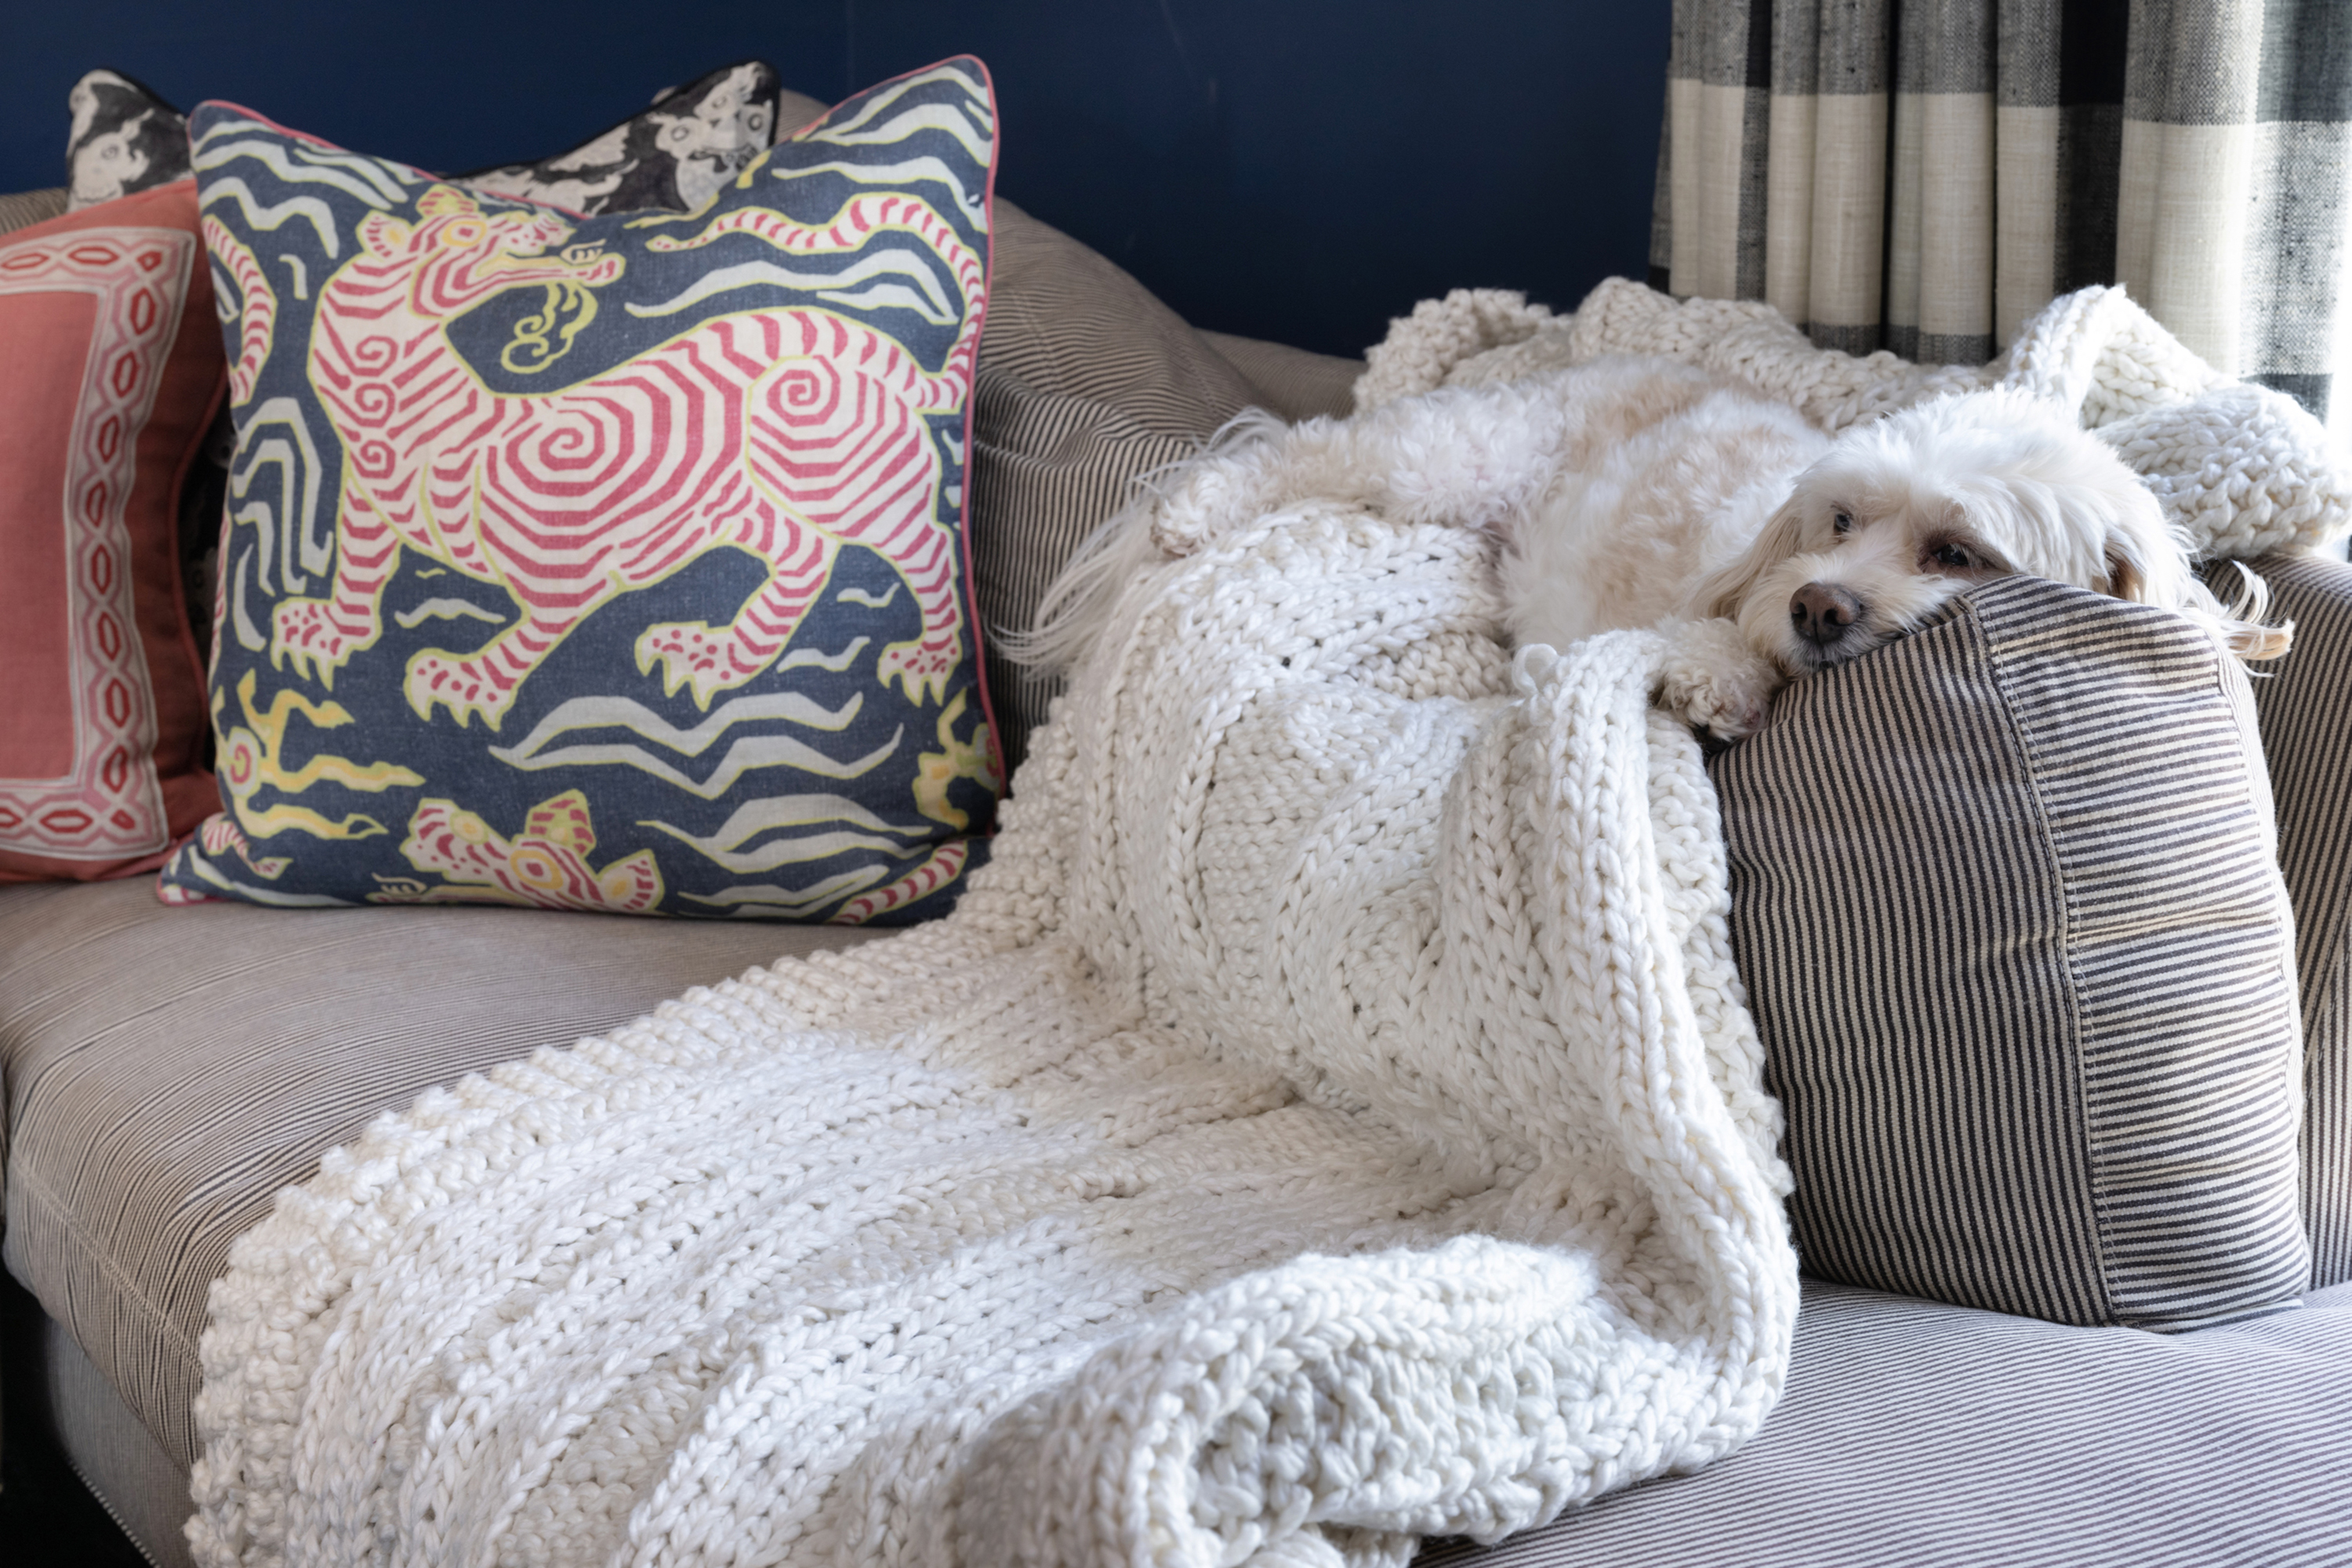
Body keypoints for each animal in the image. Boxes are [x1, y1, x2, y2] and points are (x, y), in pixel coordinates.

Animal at [1021, 354, 2286, 738]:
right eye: (1840, 521)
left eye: (1958, 554)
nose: (1818, 606)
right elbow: (1702, 638)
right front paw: (1720, 673)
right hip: (1450, 458)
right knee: (1313, 452)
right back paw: (1194, 511)